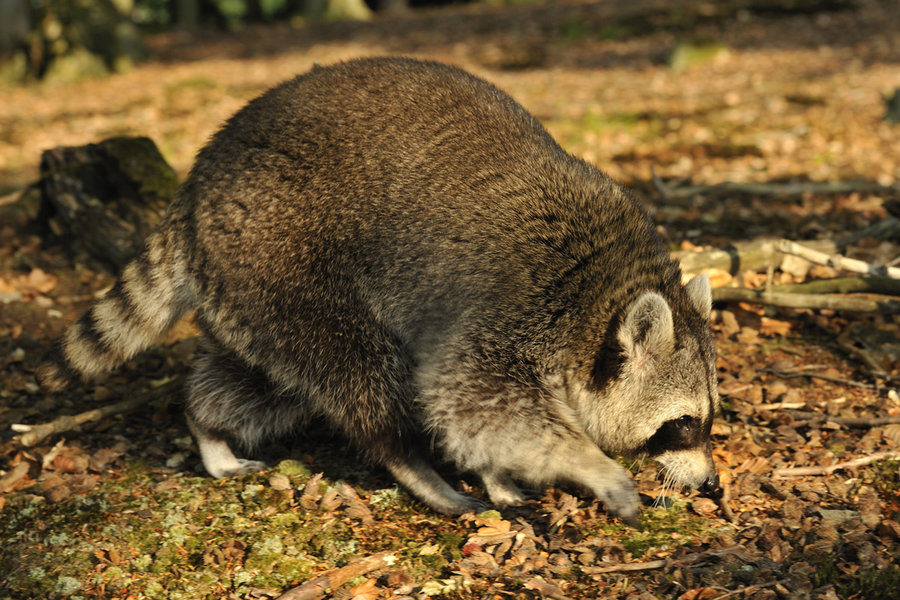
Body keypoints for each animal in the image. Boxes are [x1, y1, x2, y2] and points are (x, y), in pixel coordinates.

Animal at [38, 58, 720, 524]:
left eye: (708, 418)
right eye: (682, 425)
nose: (714, 484)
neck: (603, 289)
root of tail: (198, 180)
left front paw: (499, 474)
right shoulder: (511, 307)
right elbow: (471, 401)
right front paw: (587, 465)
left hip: (246, 286)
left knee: (266, 380)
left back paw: (206, 425)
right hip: (285, 250)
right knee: (360, 371)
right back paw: (411, 464)